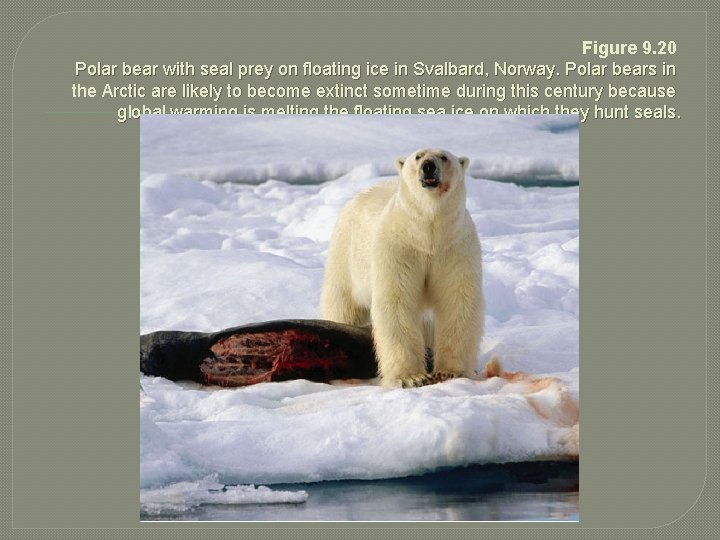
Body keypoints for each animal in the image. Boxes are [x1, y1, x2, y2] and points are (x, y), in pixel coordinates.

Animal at [322, 147, 484, 384]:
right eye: (418, 156)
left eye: (444, 157)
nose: (428, 166)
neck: (428, 233)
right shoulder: (400, 247)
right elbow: (397, 300)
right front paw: (412, 377)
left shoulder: (454, 247)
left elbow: (457, 299)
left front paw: (450, 371)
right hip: (345, 255)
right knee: (343, 305)